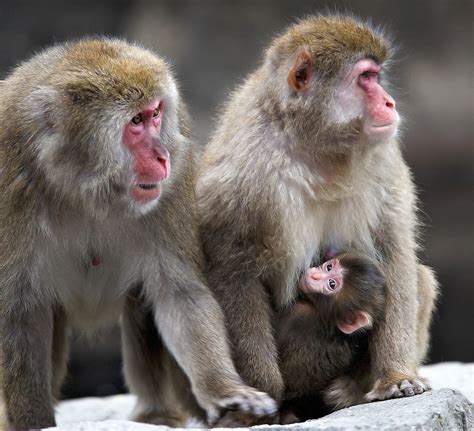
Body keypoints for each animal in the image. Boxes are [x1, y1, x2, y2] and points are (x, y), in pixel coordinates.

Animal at [0, 38, 276, 430]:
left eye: (155, 113)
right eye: (135, 121)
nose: (162, 157)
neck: (85, 187)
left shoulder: (176, 177)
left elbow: (178, 294)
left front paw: (224, 389)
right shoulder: (11, 179)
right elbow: (20, 312)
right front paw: (31, 421)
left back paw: (156, 412)